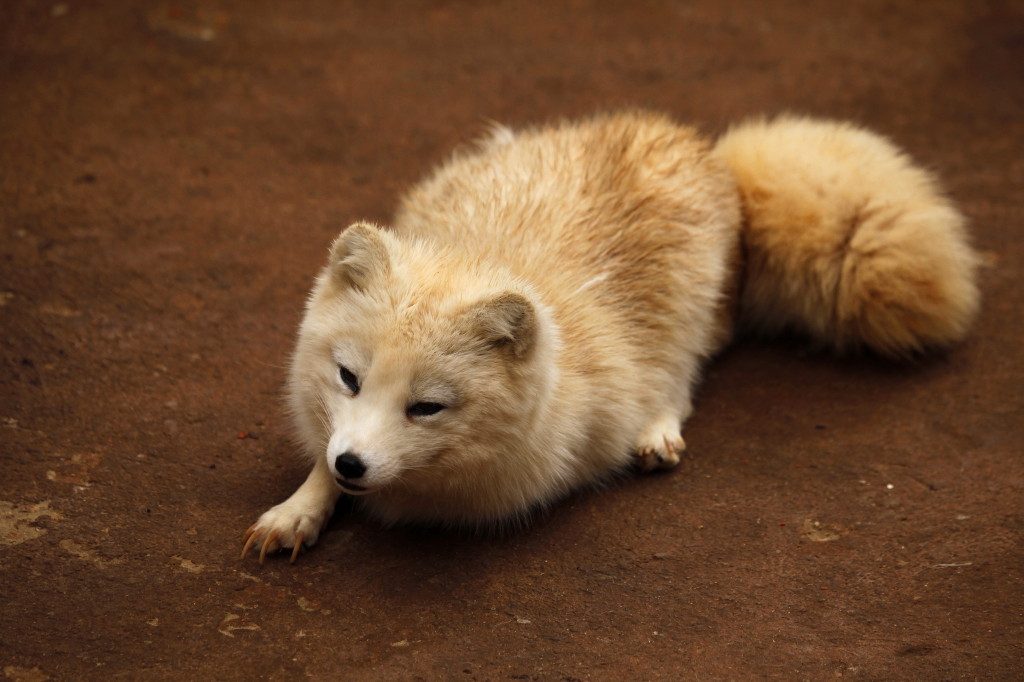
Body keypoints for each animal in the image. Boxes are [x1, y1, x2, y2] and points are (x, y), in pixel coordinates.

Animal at [239, 109, 974, 561]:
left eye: (427, 407)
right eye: (348, 378)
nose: (353, 464)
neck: (483, 254)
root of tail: (702, 146)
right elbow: (318, 463)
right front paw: (300, 508)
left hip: (690, 314)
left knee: (679, 378)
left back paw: (656, 430)